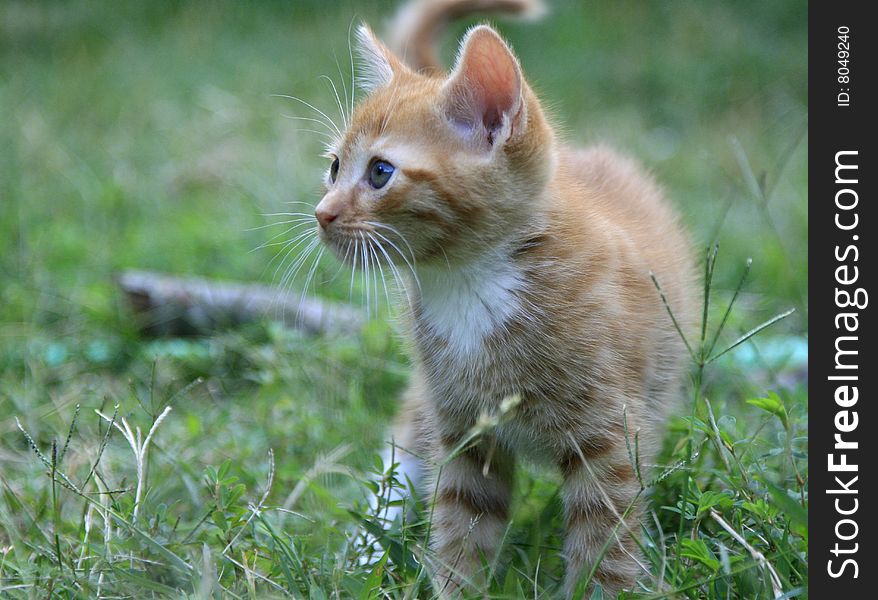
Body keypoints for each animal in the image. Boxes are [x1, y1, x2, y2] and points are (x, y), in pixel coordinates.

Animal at [312, 0, 696, 596]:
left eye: (380, 172)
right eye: (333, 168)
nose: (322, 214)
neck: (468, 283)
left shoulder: (609, 437)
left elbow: (604, 542)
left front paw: (598, 587)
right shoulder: (465, 429)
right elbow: (462, 528)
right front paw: (455, 586)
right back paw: (365, 552)